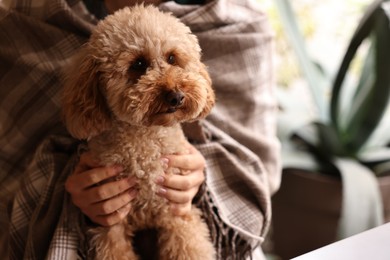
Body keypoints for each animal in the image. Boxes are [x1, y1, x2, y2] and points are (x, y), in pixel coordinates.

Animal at [63, 4, 216, 260]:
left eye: (172, 58)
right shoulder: (111, 223)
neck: (145, 141)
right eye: (138, 64)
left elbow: (189, 247)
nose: (176, 96)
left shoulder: (176, 211)